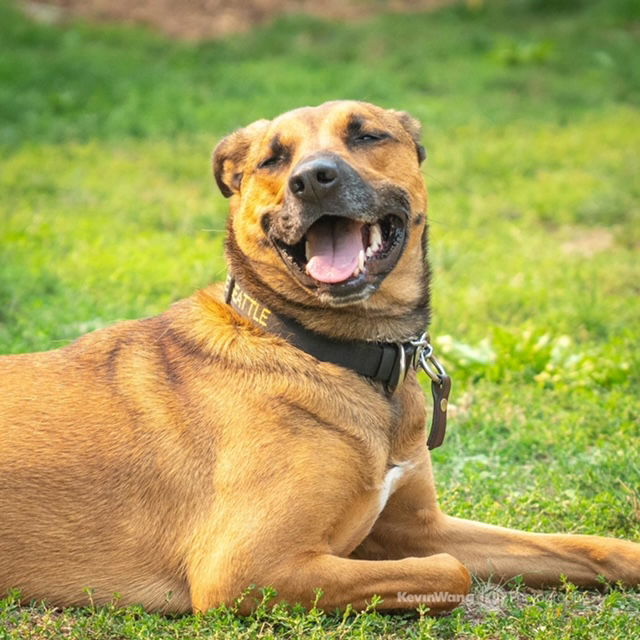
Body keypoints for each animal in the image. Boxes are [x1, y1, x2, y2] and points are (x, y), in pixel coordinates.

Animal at [1, 101, 640, 616]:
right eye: (273, 158)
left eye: (367, 135)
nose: (313, 178)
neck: (336, 352)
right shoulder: (248, 569)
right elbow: (450, 572)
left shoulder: (421, 525)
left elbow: (583, 546)